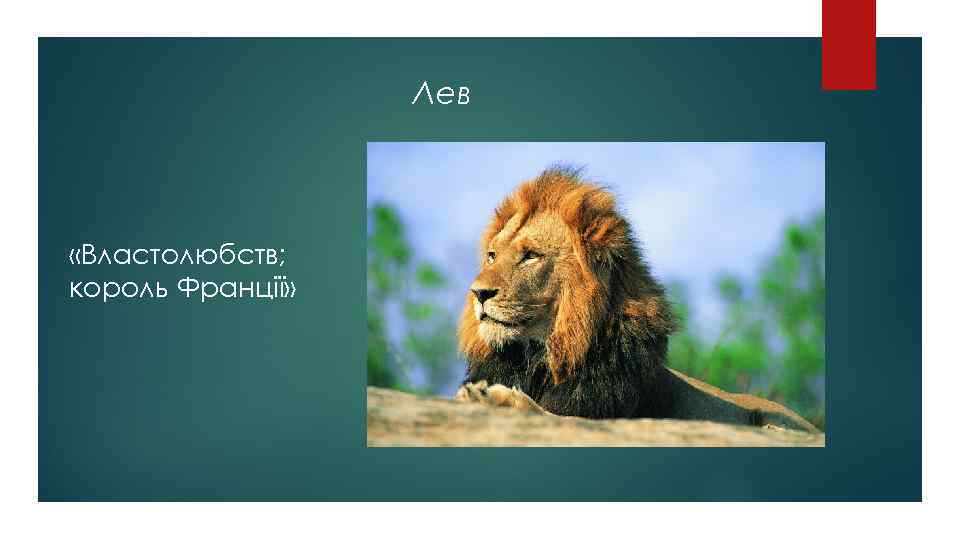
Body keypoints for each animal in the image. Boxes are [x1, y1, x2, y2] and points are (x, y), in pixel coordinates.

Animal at [453, 166, 819, 433]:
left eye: (530, 255)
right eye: (491, 256)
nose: (478, 293)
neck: (541, 356)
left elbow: (555, 415)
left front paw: (493, 397)